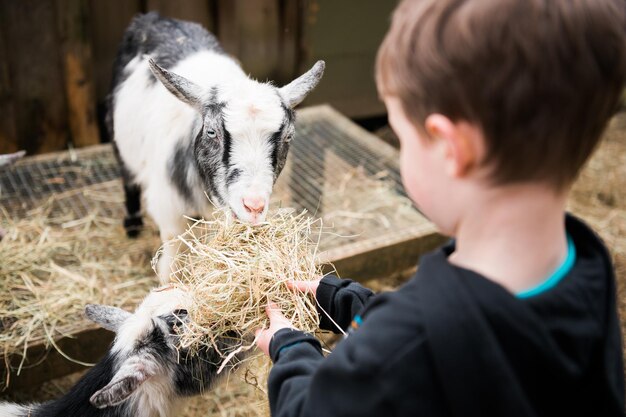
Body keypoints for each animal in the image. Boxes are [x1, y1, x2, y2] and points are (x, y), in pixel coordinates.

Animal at [108, 11, 324, 282]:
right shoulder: (170, 210)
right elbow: (172, 260)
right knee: (128, 179)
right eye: (211, 132)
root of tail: (153, 17)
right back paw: (133, 226)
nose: (253, 207)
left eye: (288, 137)